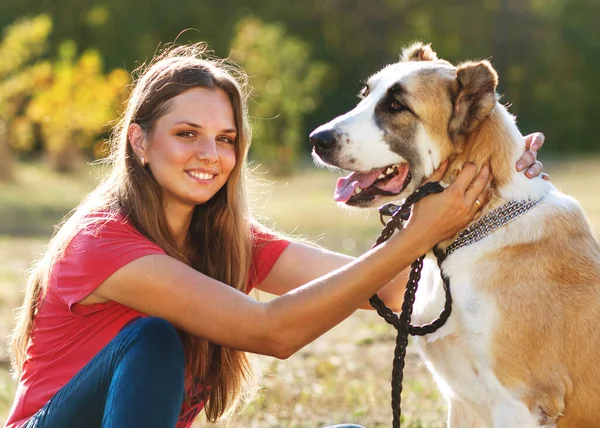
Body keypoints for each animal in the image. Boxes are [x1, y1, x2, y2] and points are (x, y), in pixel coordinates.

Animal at [310, 41, 600, 426]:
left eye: (397, 106)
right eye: (365, 95)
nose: (316, 140)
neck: (483, 221)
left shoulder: (520, 401)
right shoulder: (461, 400)